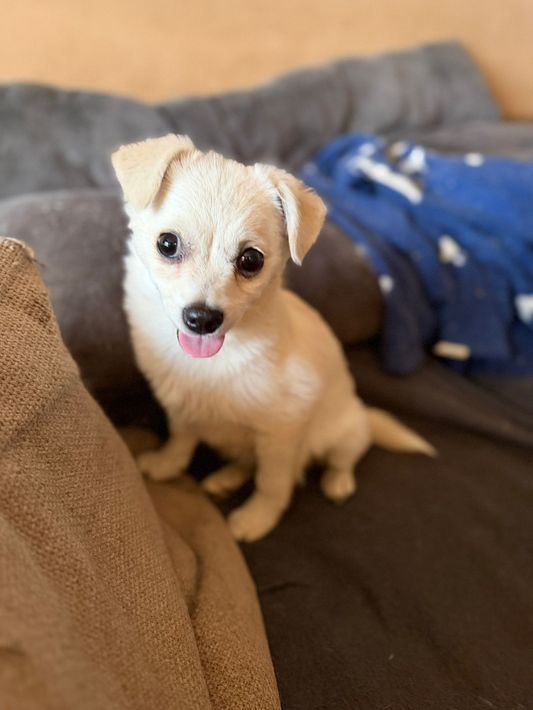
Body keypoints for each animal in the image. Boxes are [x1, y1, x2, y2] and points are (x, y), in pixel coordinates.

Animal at [112, 134, 435, 542]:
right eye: (167, 244)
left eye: (251, 260)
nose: (202, 319)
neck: (212, 365)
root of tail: (360, 413)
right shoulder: (182, 408)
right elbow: (181, 440)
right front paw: (167, 464)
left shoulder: (281, 435)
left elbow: (272, 483)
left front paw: (256, 519)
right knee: (245, 462)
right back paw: (225, 478)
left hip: (345, 432)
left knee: (343, 457)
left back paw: (338, 483)